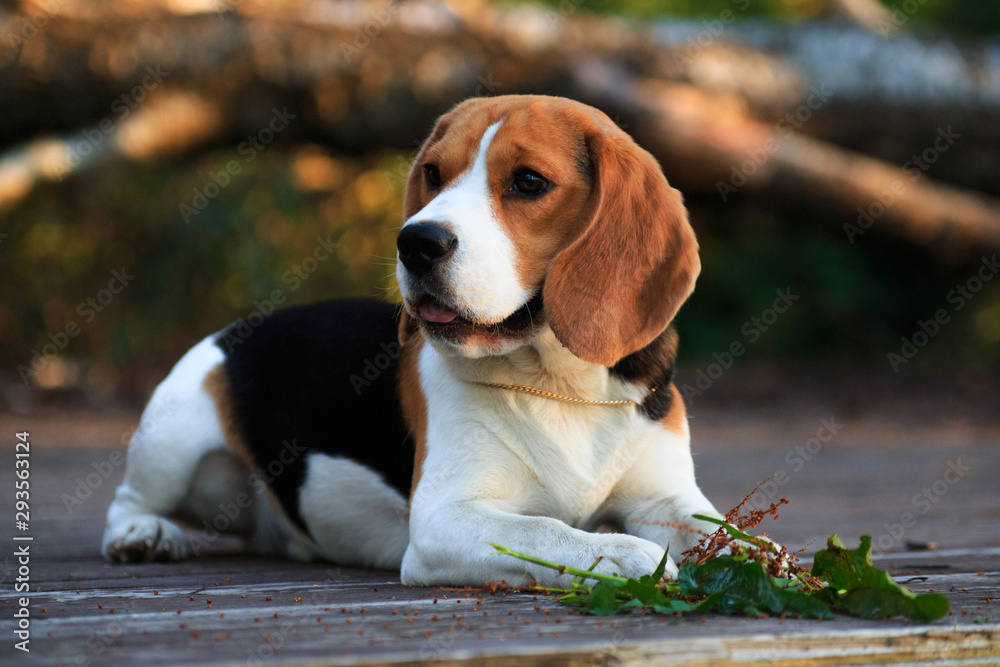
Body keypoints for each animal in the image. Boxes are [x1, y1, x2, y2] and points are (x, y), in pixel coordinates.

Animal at [103, 94, 728, 584]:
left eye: (529, 182)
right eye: (432, 173)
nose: (416, 242)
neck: (558, 383)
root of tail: (234, 329)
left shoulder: (669, 499)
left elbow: (728, 535)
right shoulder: (443, 520)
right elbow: (547, 532)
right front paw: (621, 554)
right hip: (172, 437)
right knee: (126, 501)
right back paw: (143, 534)